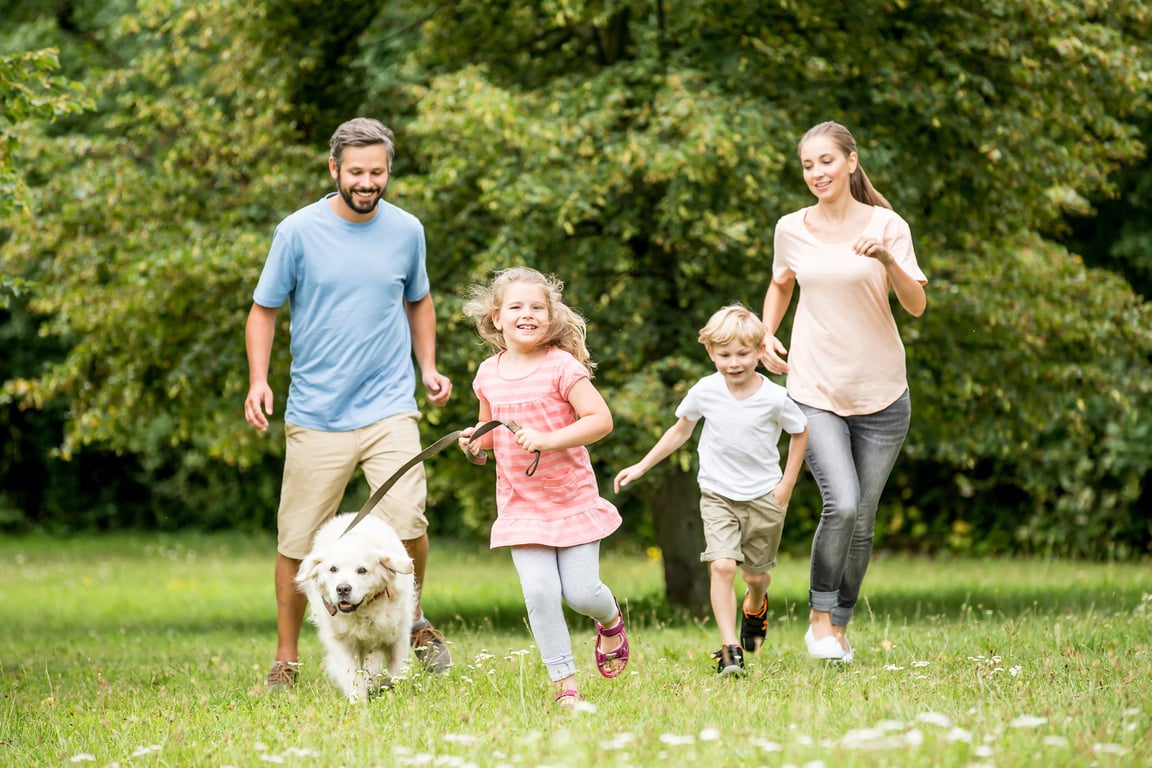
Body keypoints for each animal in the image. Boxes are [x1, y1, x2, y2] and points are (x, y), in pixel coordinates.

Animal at [294, 511, 417, 704]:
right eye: (333, 569)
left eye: (362, 570)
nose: (343, 588)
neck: (364, 611)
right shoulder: (341, 641)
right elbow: (352, 674)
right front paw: (359, 701)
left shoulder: (399, 636)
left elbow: (395, 672)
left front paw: (389, 691)